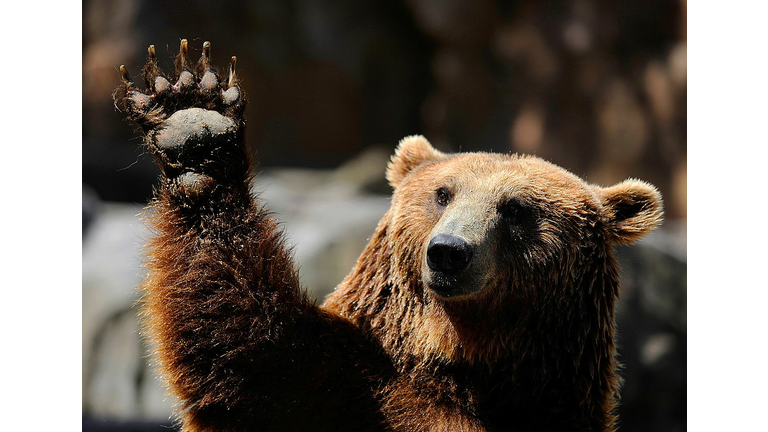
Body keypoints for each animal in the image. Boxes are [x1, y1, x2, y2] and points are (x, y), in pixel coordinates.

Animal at [114, 40, 664, 432]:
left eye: (515, 209)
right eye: (443, 193)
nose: (448, 253)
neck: (461, 360)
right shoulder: (329, 383)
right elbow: (235, 337)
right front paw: (193, 117)